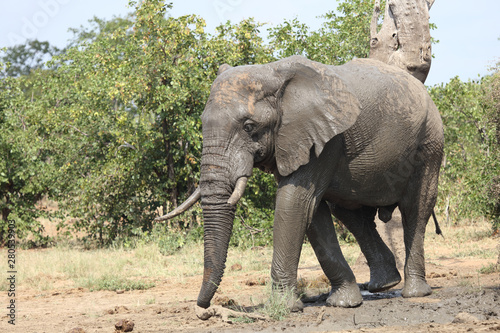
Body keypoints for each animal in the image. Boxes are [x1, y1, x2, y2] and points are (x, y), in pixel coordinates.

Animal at [158, 55, 444, 312]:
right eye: (202, 123)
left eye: (249, 126)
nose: (204, 308)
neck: (273, 73)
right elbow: (312, 212)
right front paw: (343, 303)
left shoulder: (323, 139)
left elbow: (293, 203)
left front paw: (282, 308)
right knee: (350, 214)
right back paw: (382, 285)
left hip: (429, 142)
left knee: (415, 209)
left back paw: (414, 293)